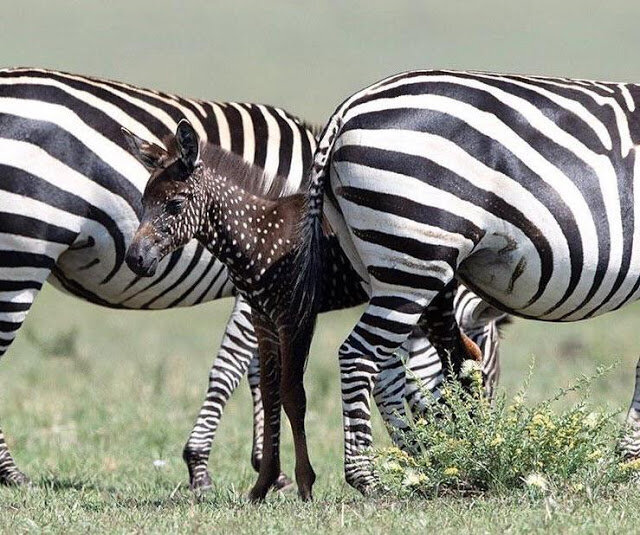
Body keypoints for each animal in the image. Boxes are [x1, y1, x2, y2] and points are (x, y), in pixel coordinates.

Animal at [0, 66, 504, 490]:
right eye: (489, 375)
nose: (472, 443)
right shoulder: (262, 296)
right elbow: (241, 371)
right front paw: (209, 468)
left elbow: (265, 373)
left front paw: (266, 468)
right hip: (21, 254)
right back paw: (12, 475)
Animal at [302, 69, 640, 496]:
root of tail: (348, 108)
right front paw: (631, 461)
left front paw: (629, 459)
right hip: (417, 256)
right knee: (359, 355)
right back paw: (370, 478)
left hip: (385, 264)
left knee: (391, 367)